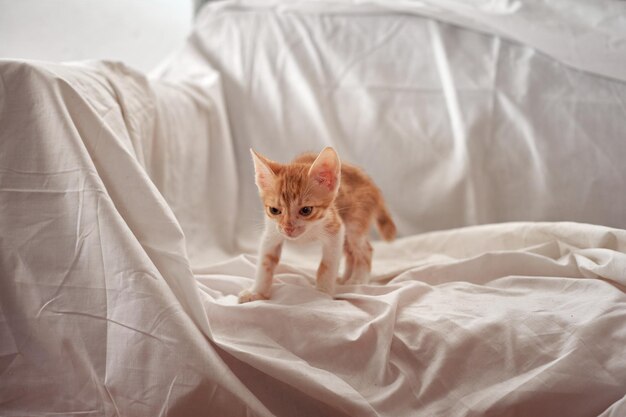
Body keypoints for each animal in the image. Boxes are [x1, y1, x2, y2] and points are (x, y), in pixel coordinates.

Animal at [236, 146, 392, 302]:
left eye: (306, 210)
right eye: (274, 210)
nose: (288, 228)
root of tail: (370, 182)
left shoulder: (336, 228)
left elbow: (327, 265)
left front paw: (322, 294)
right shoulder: (272, 232)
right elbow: (265, 262)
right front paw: (257, 292)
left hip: (355, 223)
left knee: (365, 249)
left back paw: (358, 280)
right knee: (351, 252)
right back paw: (344, 279)